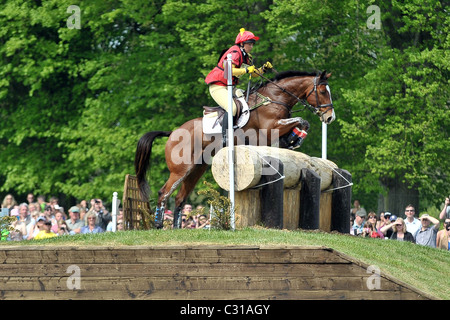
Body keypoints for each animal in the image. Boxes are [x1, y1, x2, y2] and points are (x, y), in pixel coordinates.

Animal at [134, 71, 334, 229]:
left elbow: (302, 123)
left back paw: (177, 228)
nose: (330, 117)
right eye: (323, 92)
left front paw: (294, 139)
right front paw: (295, 138)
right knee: (164, 193)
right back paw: (159, 224)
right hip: (181, 169)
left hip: (197, 169)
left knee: (180, 198)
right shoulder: (271, 128)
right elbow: (301, 120)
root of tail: (173, 132)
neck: (274, 98)